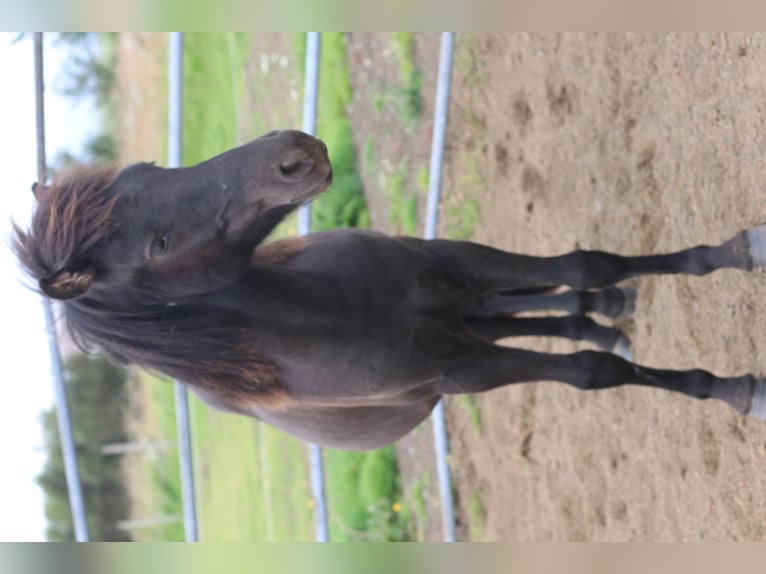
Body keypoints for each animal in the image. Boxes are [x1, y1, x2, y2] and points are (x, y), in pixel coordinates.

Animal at [13, 129, 766, 450]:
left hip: (462, 302)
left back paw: (609, 312)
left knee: (535, 301)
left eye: (152, 168)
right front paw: (735, 390)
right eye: (159, 244)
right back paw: (608, 323)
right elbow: (590, 372)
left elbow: (587, 264)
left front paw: (735, 251)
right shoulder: (464, 371)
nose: (294, 154)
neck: (340, 312)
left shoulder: (456, 261)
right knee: (532, 321)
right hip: (465, 334)